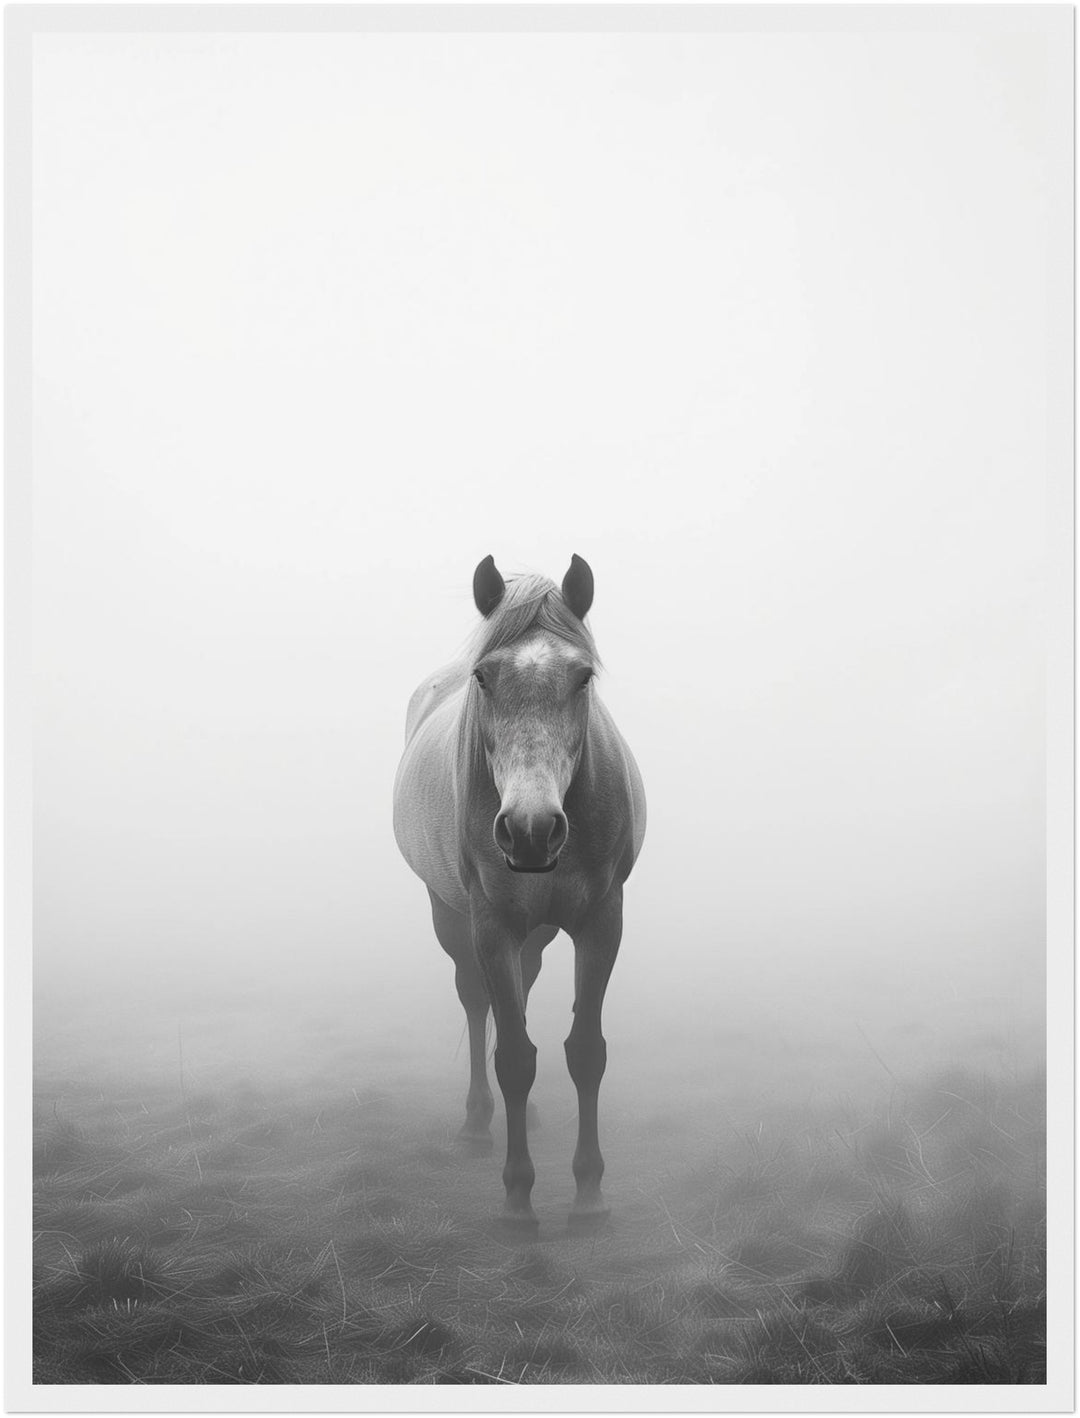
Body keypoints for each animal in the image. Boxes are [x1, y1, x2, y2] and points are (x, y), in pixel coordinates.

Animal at [392, 555, 646, 1231]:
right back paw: (478, 1124)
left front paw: (589, 1193)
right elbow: (511, 1056)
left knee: (523, 993)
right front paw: (517, 1199)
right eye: (483, 677)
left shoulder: (602, 921)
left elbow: (585, 1052)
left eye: (583, 677)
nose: (531, 831)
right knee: (477, 1005)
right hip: (451, 917)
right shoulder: (492, 925)